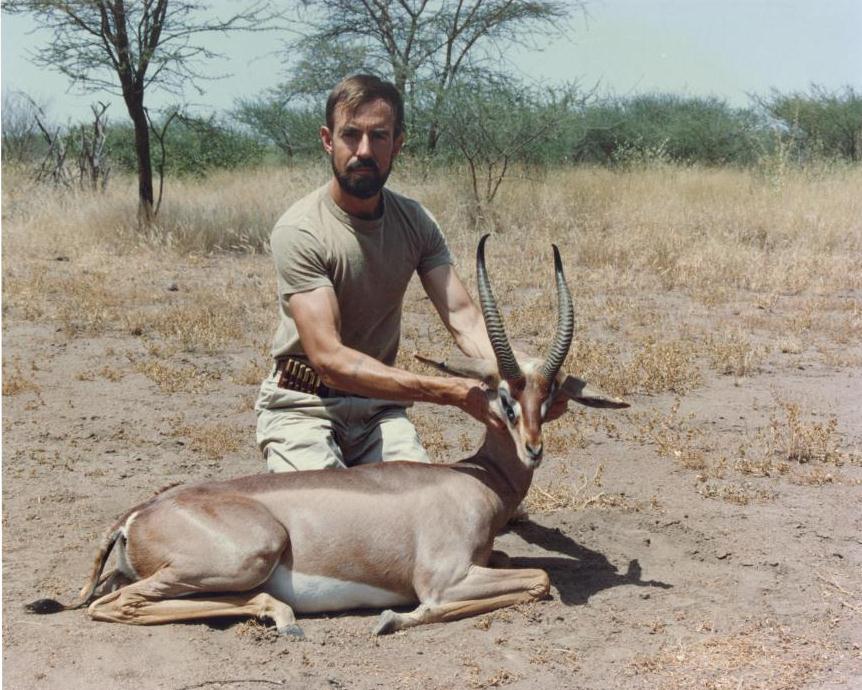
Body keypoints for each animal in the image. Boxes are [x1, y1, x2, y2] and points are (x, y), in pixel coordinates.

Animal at [28, 234, 628, 632]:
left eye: (550, 399)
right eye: (504, 398)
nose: (533, 450)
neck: (473, 480)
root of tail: (135, 515)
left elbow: (524, 569)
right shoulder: (445, 578)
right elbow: (536, 580)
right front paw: (393, 618)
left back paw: (277, 613)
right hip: (247, 556)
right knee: (116, 605)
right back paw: (285, 616)